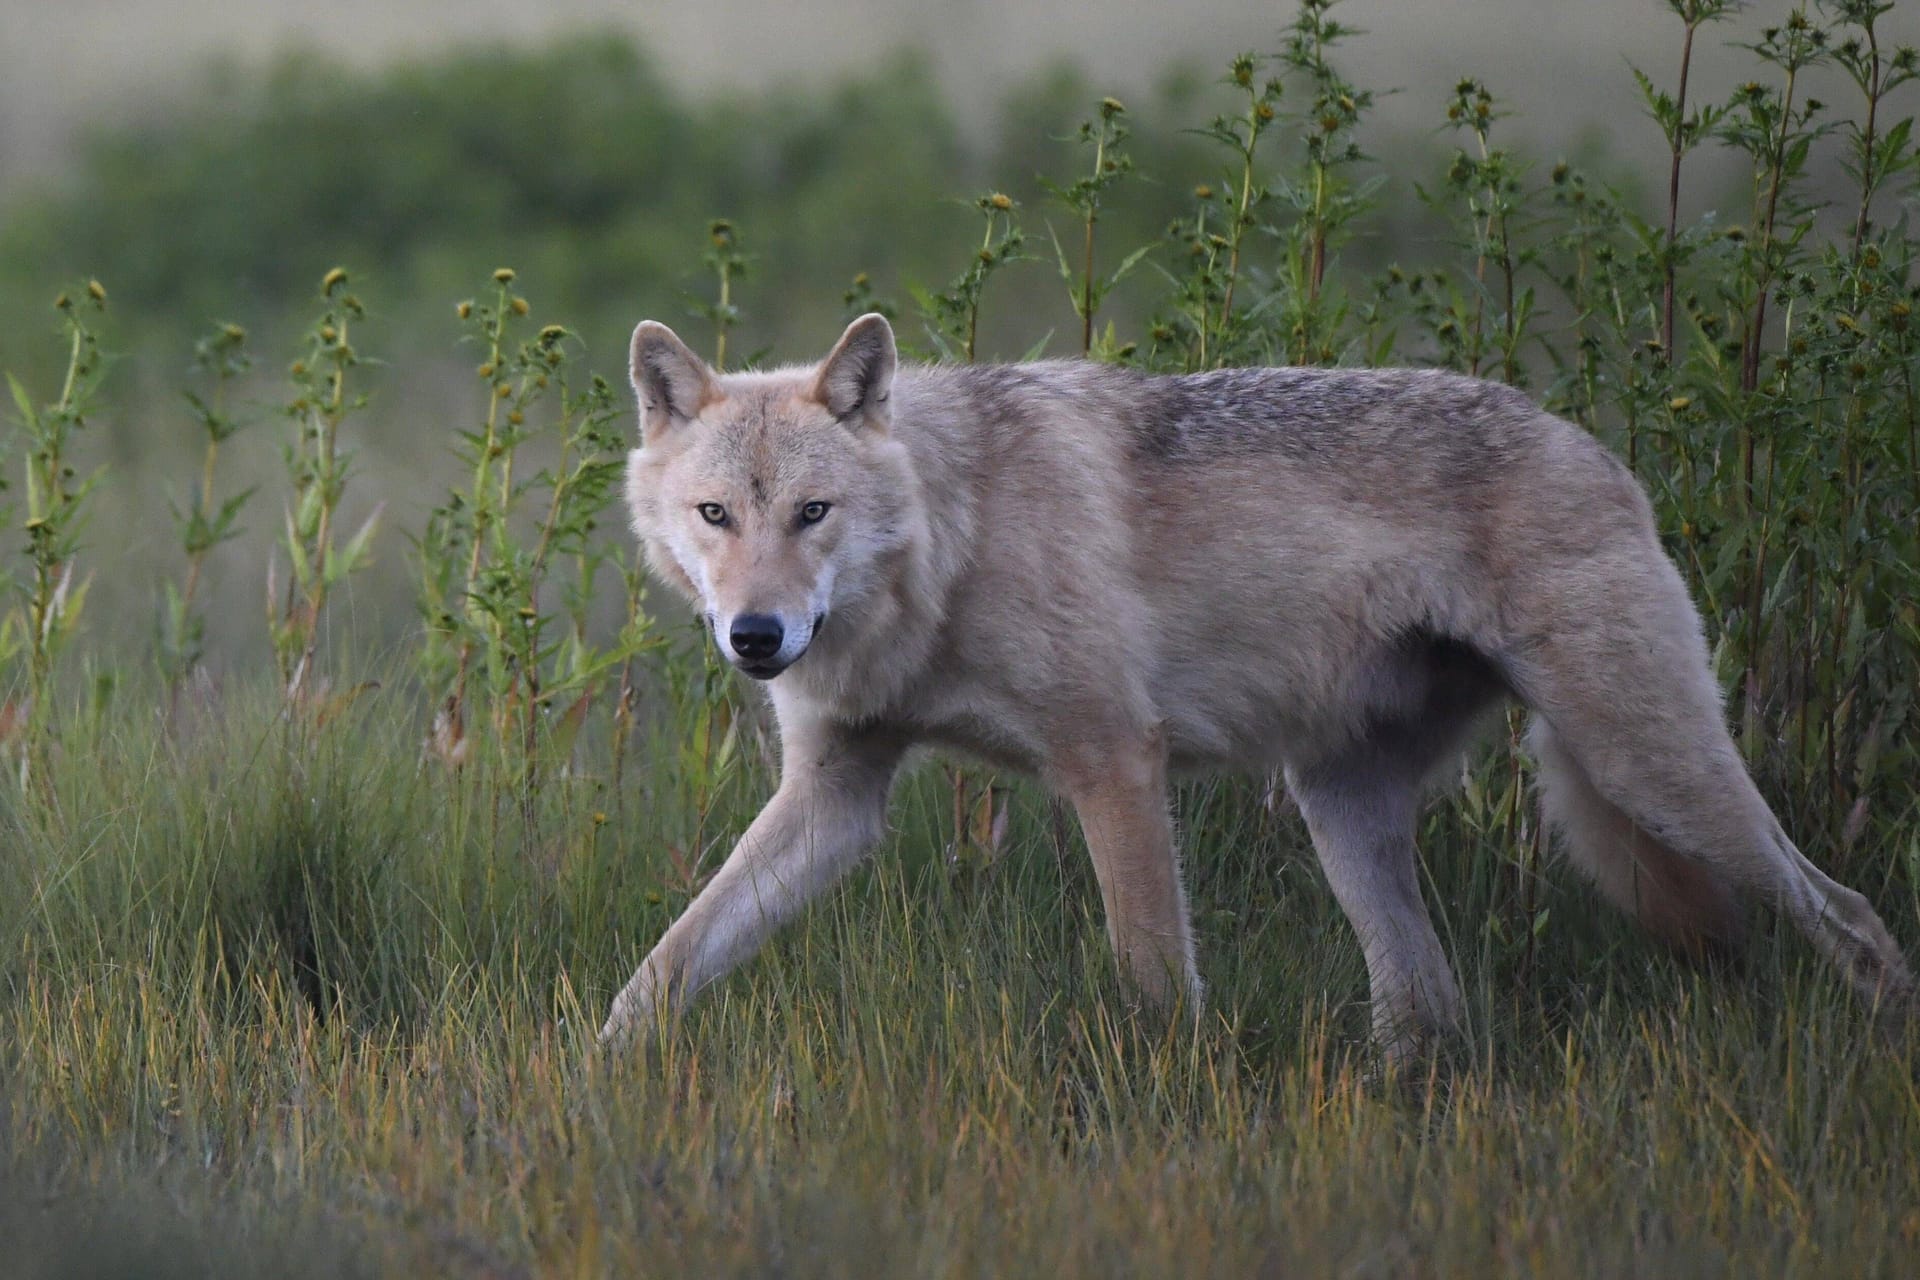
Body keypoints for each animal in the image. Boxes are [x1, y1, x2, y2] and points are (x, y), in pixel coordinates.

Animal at [595, 312, 1904, 1059]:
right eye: (716, 516)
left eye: (813, 512)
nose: (756, 635)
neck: (950, 544)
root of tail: (1593, 443)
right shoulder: (835, 795)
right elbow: (666, 960)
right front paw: (595, 1078)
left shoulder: (1115, 762)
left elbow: (1153, 974)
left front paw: (1167, 1102)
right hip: (1345, 812)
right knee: (1431, 1004)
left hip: (1654, 773)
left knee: (1854, 916)